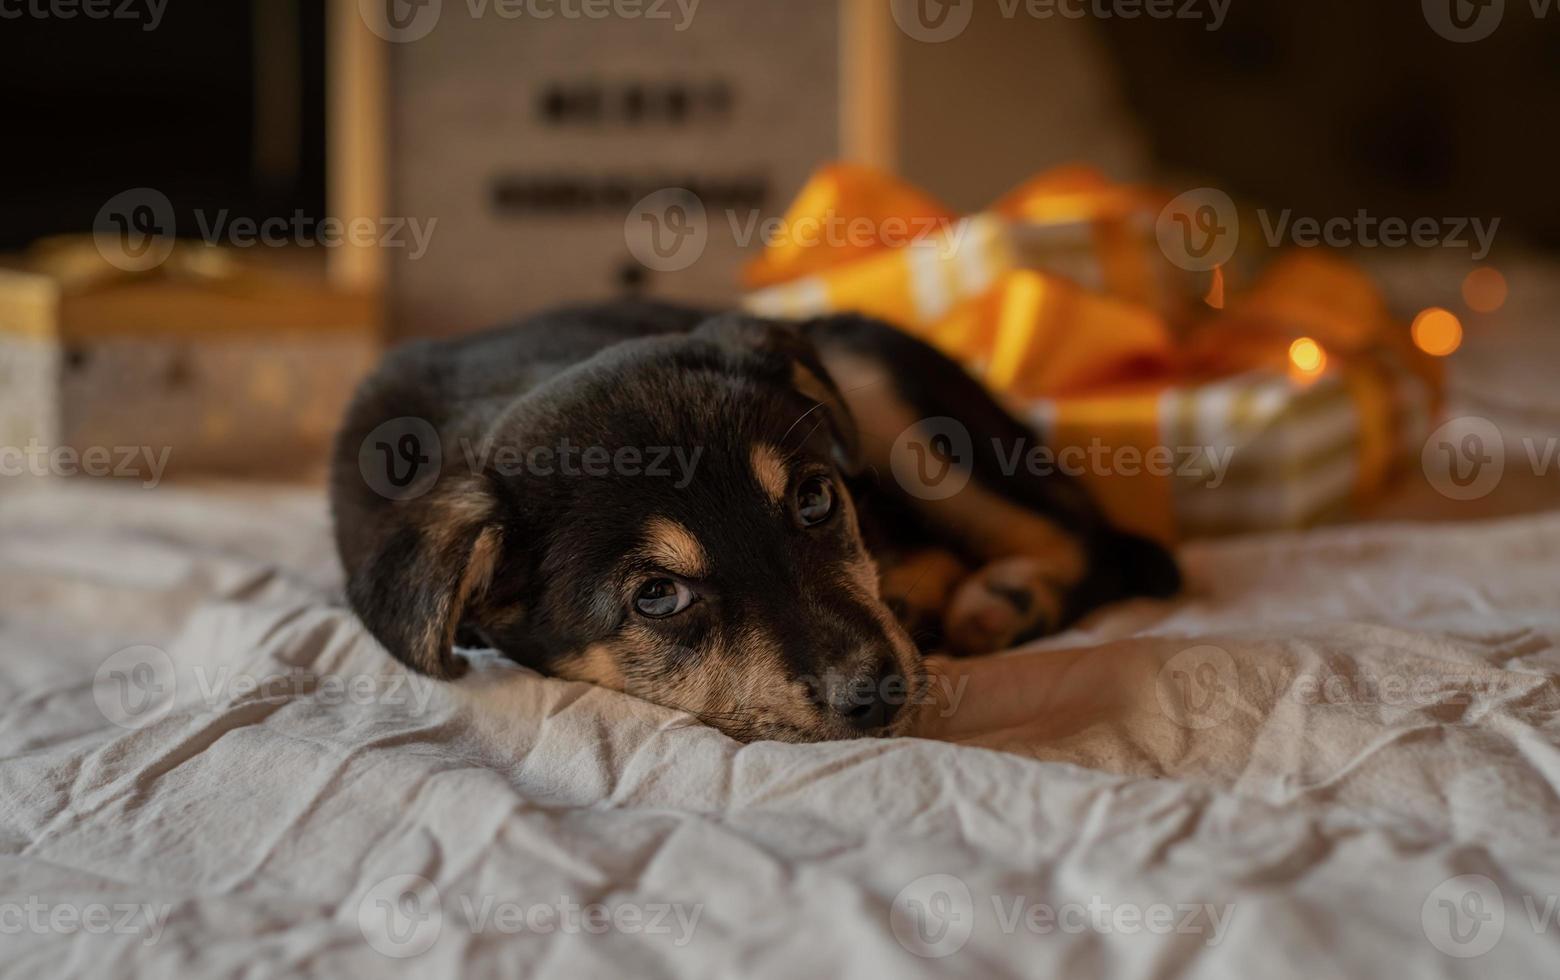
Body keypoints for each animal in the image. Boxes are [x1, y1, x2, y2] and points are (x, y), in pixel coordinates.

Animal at [332, 304, 1179, 742]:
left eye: (814, 500)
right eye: (657, 597)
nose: (877, 696)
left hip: (872, 373)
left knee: (1085, 538)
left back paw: (1002, 601)